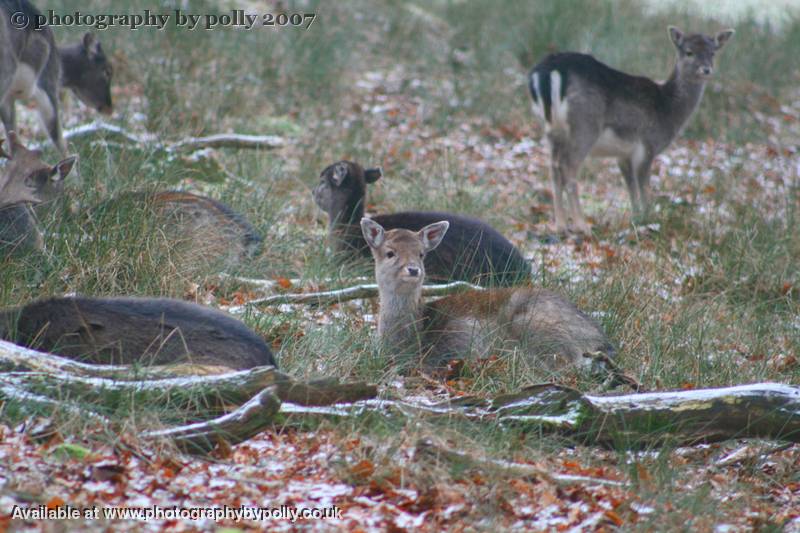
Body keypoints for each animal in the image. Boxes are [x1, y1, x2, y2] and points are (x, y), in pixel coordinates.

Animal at [0, 0, 113, 154]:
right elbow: (59, 138)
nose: (109, 108)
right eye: (107, 71)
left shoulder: (9, 99)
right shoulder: (47, 86)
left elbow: (13, 140)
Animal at [360, 215, 616, 370]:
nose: (414, 269)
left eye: (421, 253)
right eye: (390, 252)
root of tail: (600, 340)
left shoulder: (461, 338)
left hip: (538, 326)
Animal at [528, 25, 736, 233]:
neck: (668, 110)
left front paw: (636, 218)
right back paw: (582, 225)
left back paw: (560, 225)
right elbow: (643, 186)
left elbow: (630, 186)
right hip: (584, 126)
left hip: (551, 129)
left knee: (554, 168)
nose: (706, 69)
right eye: (689, 52)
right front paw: (649, 219)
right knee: (568, 167)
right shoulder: (647, 146)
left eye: (713, 52)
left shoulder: (623, 154)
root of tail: (548, 72)